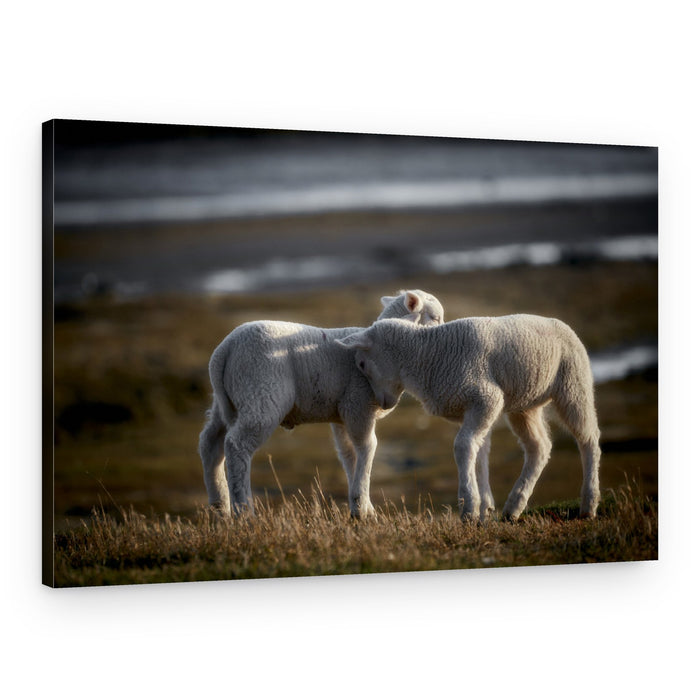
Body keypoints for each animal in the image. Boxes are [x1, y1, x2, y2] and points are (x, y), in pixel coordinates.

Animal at [198, 290, 445, 518]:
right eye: (435, 317)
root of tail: (225, 350)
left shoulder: (342, 414)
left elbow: (348, 454)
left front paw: (363, 507)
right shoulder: (358, 405)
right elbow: (368, 447)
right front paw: (362, 508)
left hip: (229, 401)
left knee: (210, 443)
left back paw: (220, 507)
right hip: (261, 395)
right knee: (236, 446)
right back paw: (244, 512)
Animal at [337, 314, 601, 522]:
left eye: (362, 363)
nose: (383, 405)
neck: (427, 356)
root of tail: (561, 324)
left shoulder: (487, 398)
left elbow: (463, 447)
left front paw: (469, 508)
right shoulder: (470, 407)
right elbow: (478, 452)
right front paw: (483, 506)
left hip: (573, 383)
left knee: (588, 439)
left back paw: (588, 504)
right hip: (525, 404)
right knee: (539, 447)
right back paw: (514, 507)